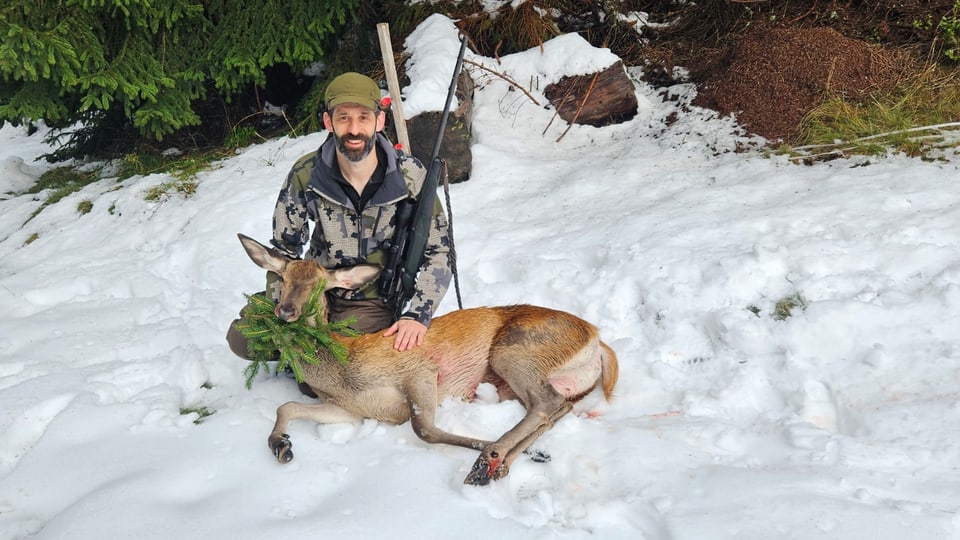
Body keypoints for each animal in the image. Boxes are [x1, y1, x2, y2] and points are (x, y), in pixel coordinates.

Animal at [236, 232, 620, 486]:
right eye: (283, 278)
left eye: (319, 284)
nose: (286, 311)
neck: (342, 370)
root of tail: (597, 338)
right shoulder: (351, 409)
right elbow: (286, 405)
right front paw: (281, 445)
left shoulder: (419, 367)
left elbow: (424, 429)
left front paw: (487, 449)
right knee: (556, 407)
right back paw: (502, 462)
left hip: (514, 349)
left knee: (547, 403)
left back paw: (489, 458)